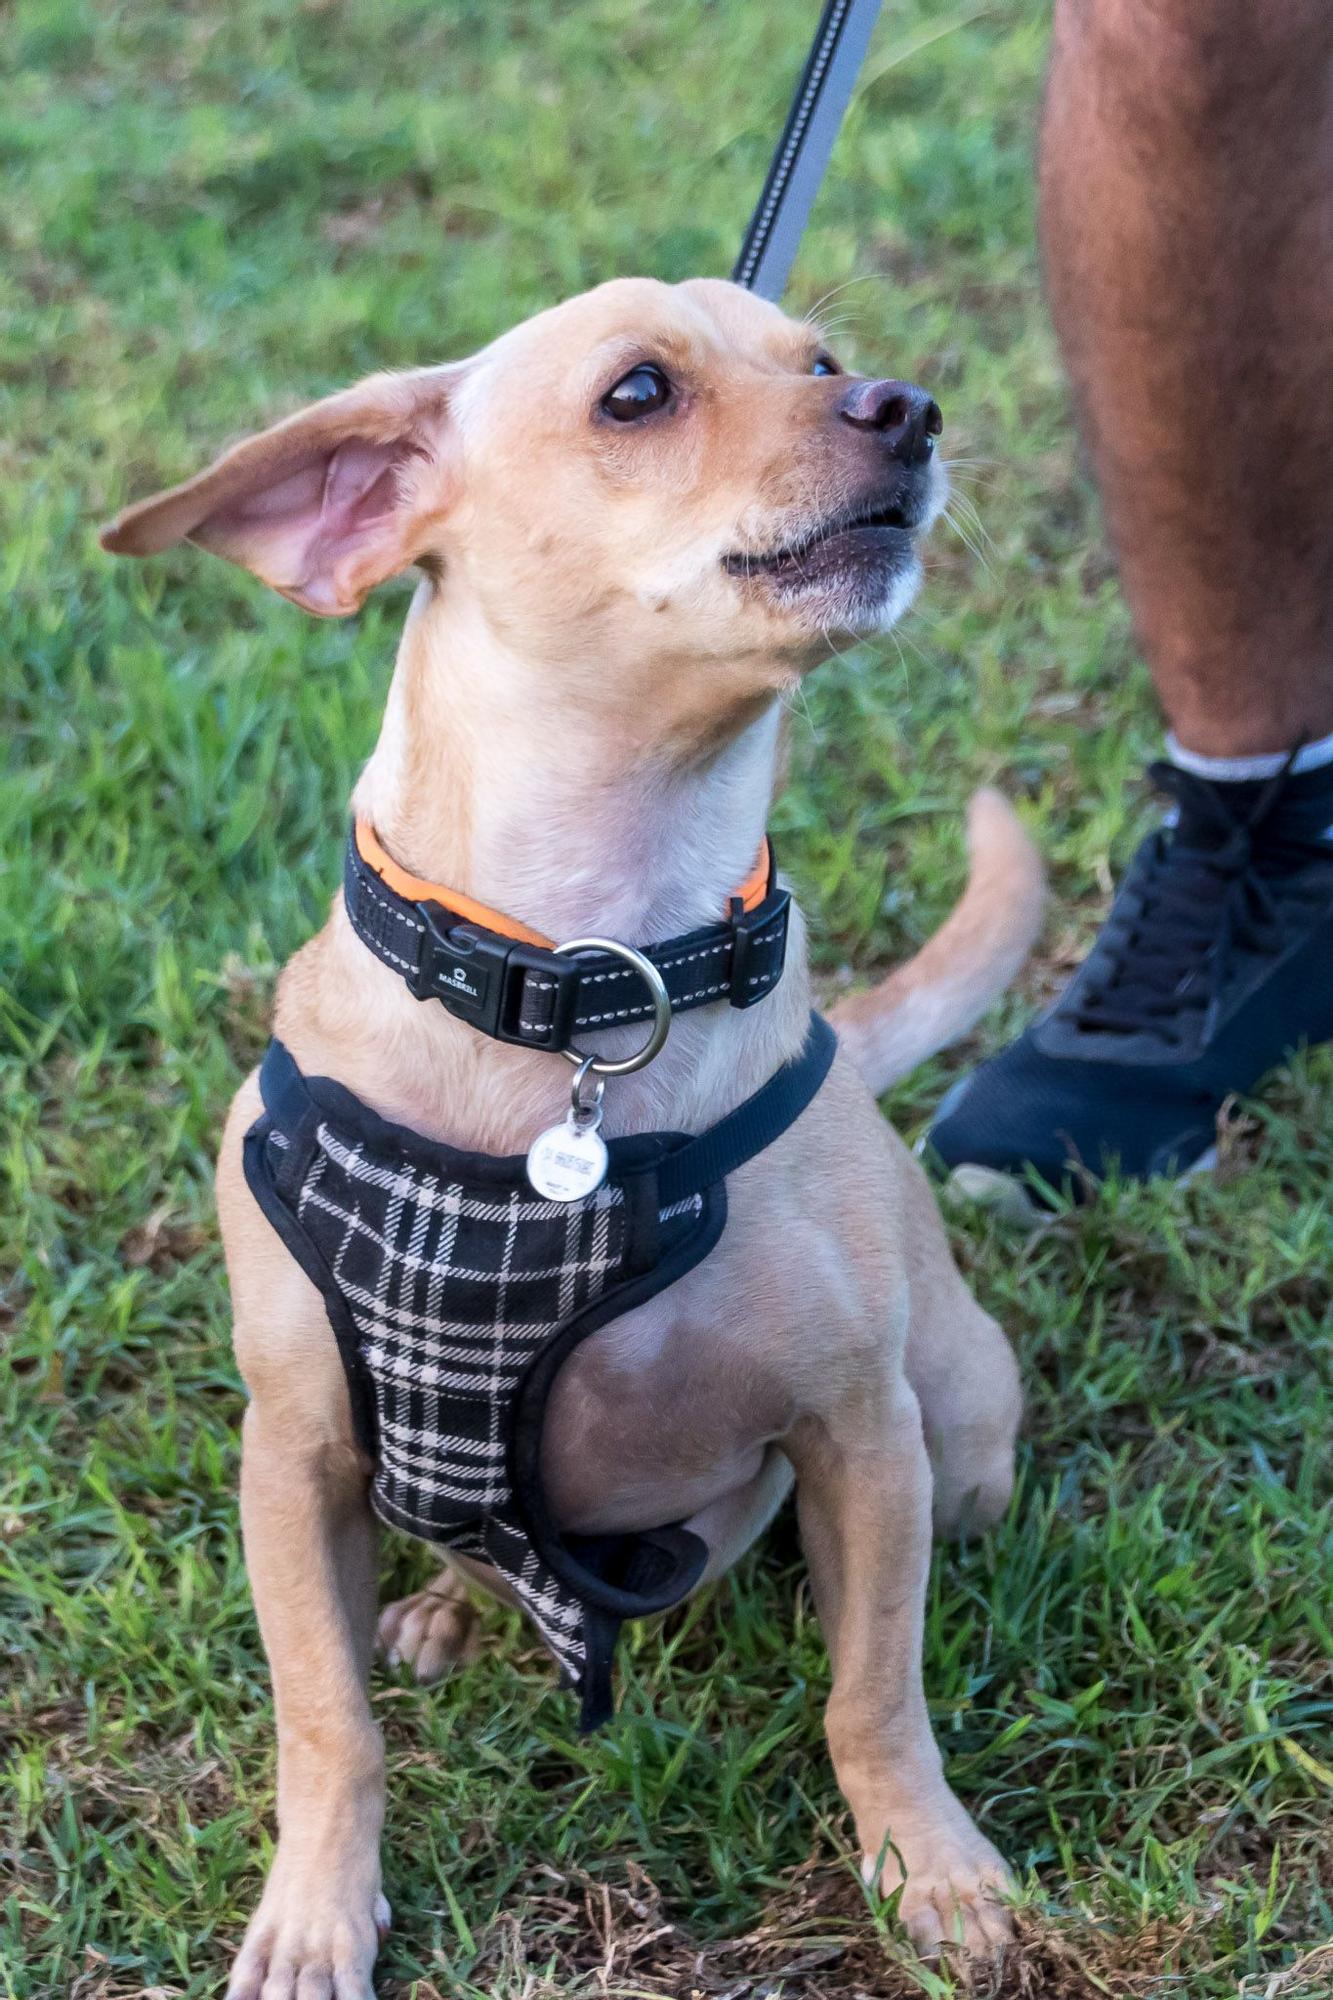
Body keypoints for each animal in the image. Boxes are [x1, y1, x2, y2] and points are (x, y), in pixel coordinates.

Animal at [104, 278, 1040, 2000]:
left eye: (817, 360)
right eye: (639, 395)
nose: (906, 405)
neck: (593, 985)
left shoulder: (863, 1438)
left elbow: (873, 1693)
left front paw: (929, 1867)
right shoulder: (294, 1458)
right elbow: (325, 1722)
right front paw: (315, 1913)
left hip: (957, 1425)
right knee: (456, 1567)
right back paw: (450, 1616)